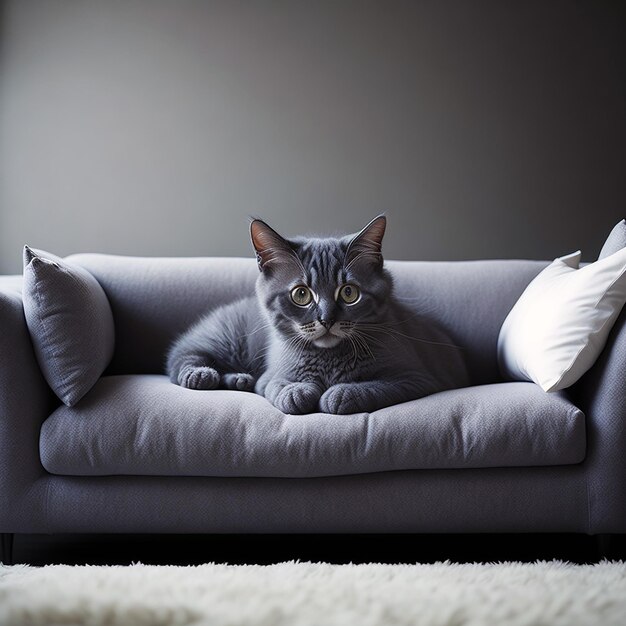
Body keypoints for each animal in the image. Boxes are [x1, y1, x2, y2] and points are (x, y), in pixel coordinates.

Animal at [166, 216, 468, 414]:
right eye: (301, 294)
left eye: (349, 293)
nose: (326, 318)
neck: (328, 360)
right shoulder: (270, 376)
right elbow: (276, 384)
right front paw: (297, 392)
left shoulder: (418, 379)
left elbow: (378, 386)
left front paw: (341, 393)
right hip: (225, 338)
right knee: (182, 356)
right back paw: (201, 375)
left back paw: (238, 379)